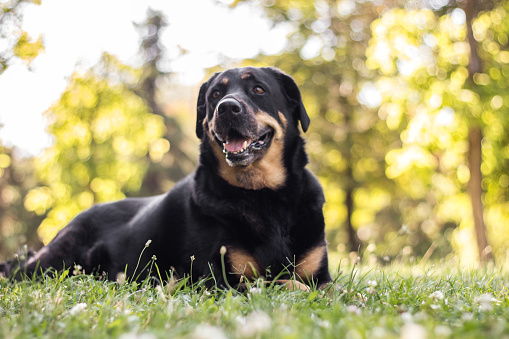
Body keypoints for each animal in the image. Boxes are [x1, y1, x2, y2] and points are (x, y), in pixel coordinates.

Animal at [0, 67, 332, 290]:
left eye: (259, 90)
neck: (263, 195)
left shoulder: (321, 275)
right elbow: (286, 283)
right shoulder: (218, 281)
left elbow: (328, 289)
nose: (226, 107)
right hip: (53, 260)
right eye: (215, 95)